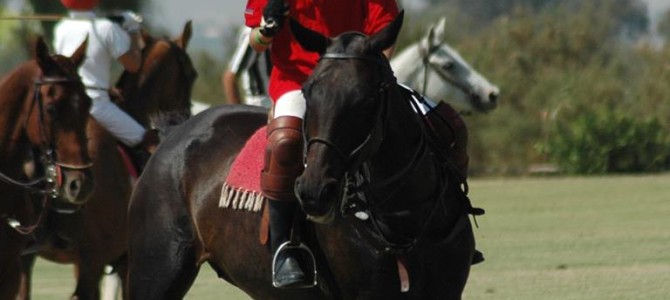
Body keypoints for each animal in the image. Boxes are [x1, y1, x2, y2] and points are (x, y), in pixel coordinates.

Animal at [127, 11, 478, 300]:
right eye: (308, 92)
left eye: (367, 98)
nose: (314, 192)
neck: (405, 217)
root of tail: (174, 133)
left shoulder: (446, 289)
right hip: (156, 270)